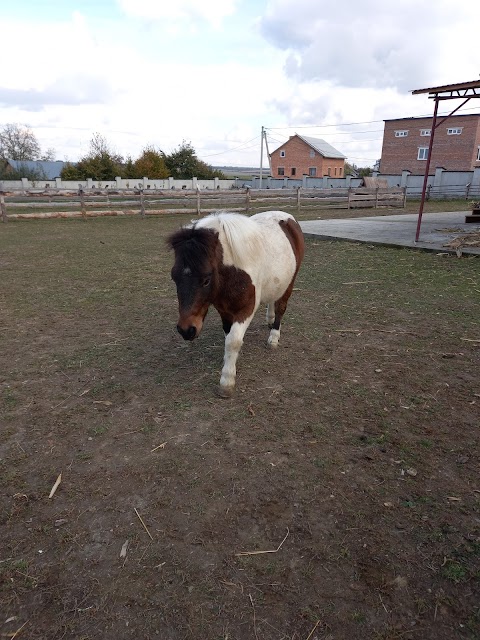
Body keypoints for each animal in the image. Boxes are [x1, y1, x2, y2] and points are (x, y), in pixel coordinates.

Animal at [168, 212, 304, 398]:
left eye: (206, 280)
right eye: (174, 278)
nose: (186, 330)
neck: (233, 273)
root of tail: (288, 218)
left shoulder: (246, 310)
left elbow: (233, 341)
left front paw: (226, 381)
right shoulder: (223, 309)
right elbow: (228, 336)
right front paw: (229, 361)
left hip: (289, 283)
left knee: (281, 308)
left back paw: (274, 337)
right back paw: (270, 319)